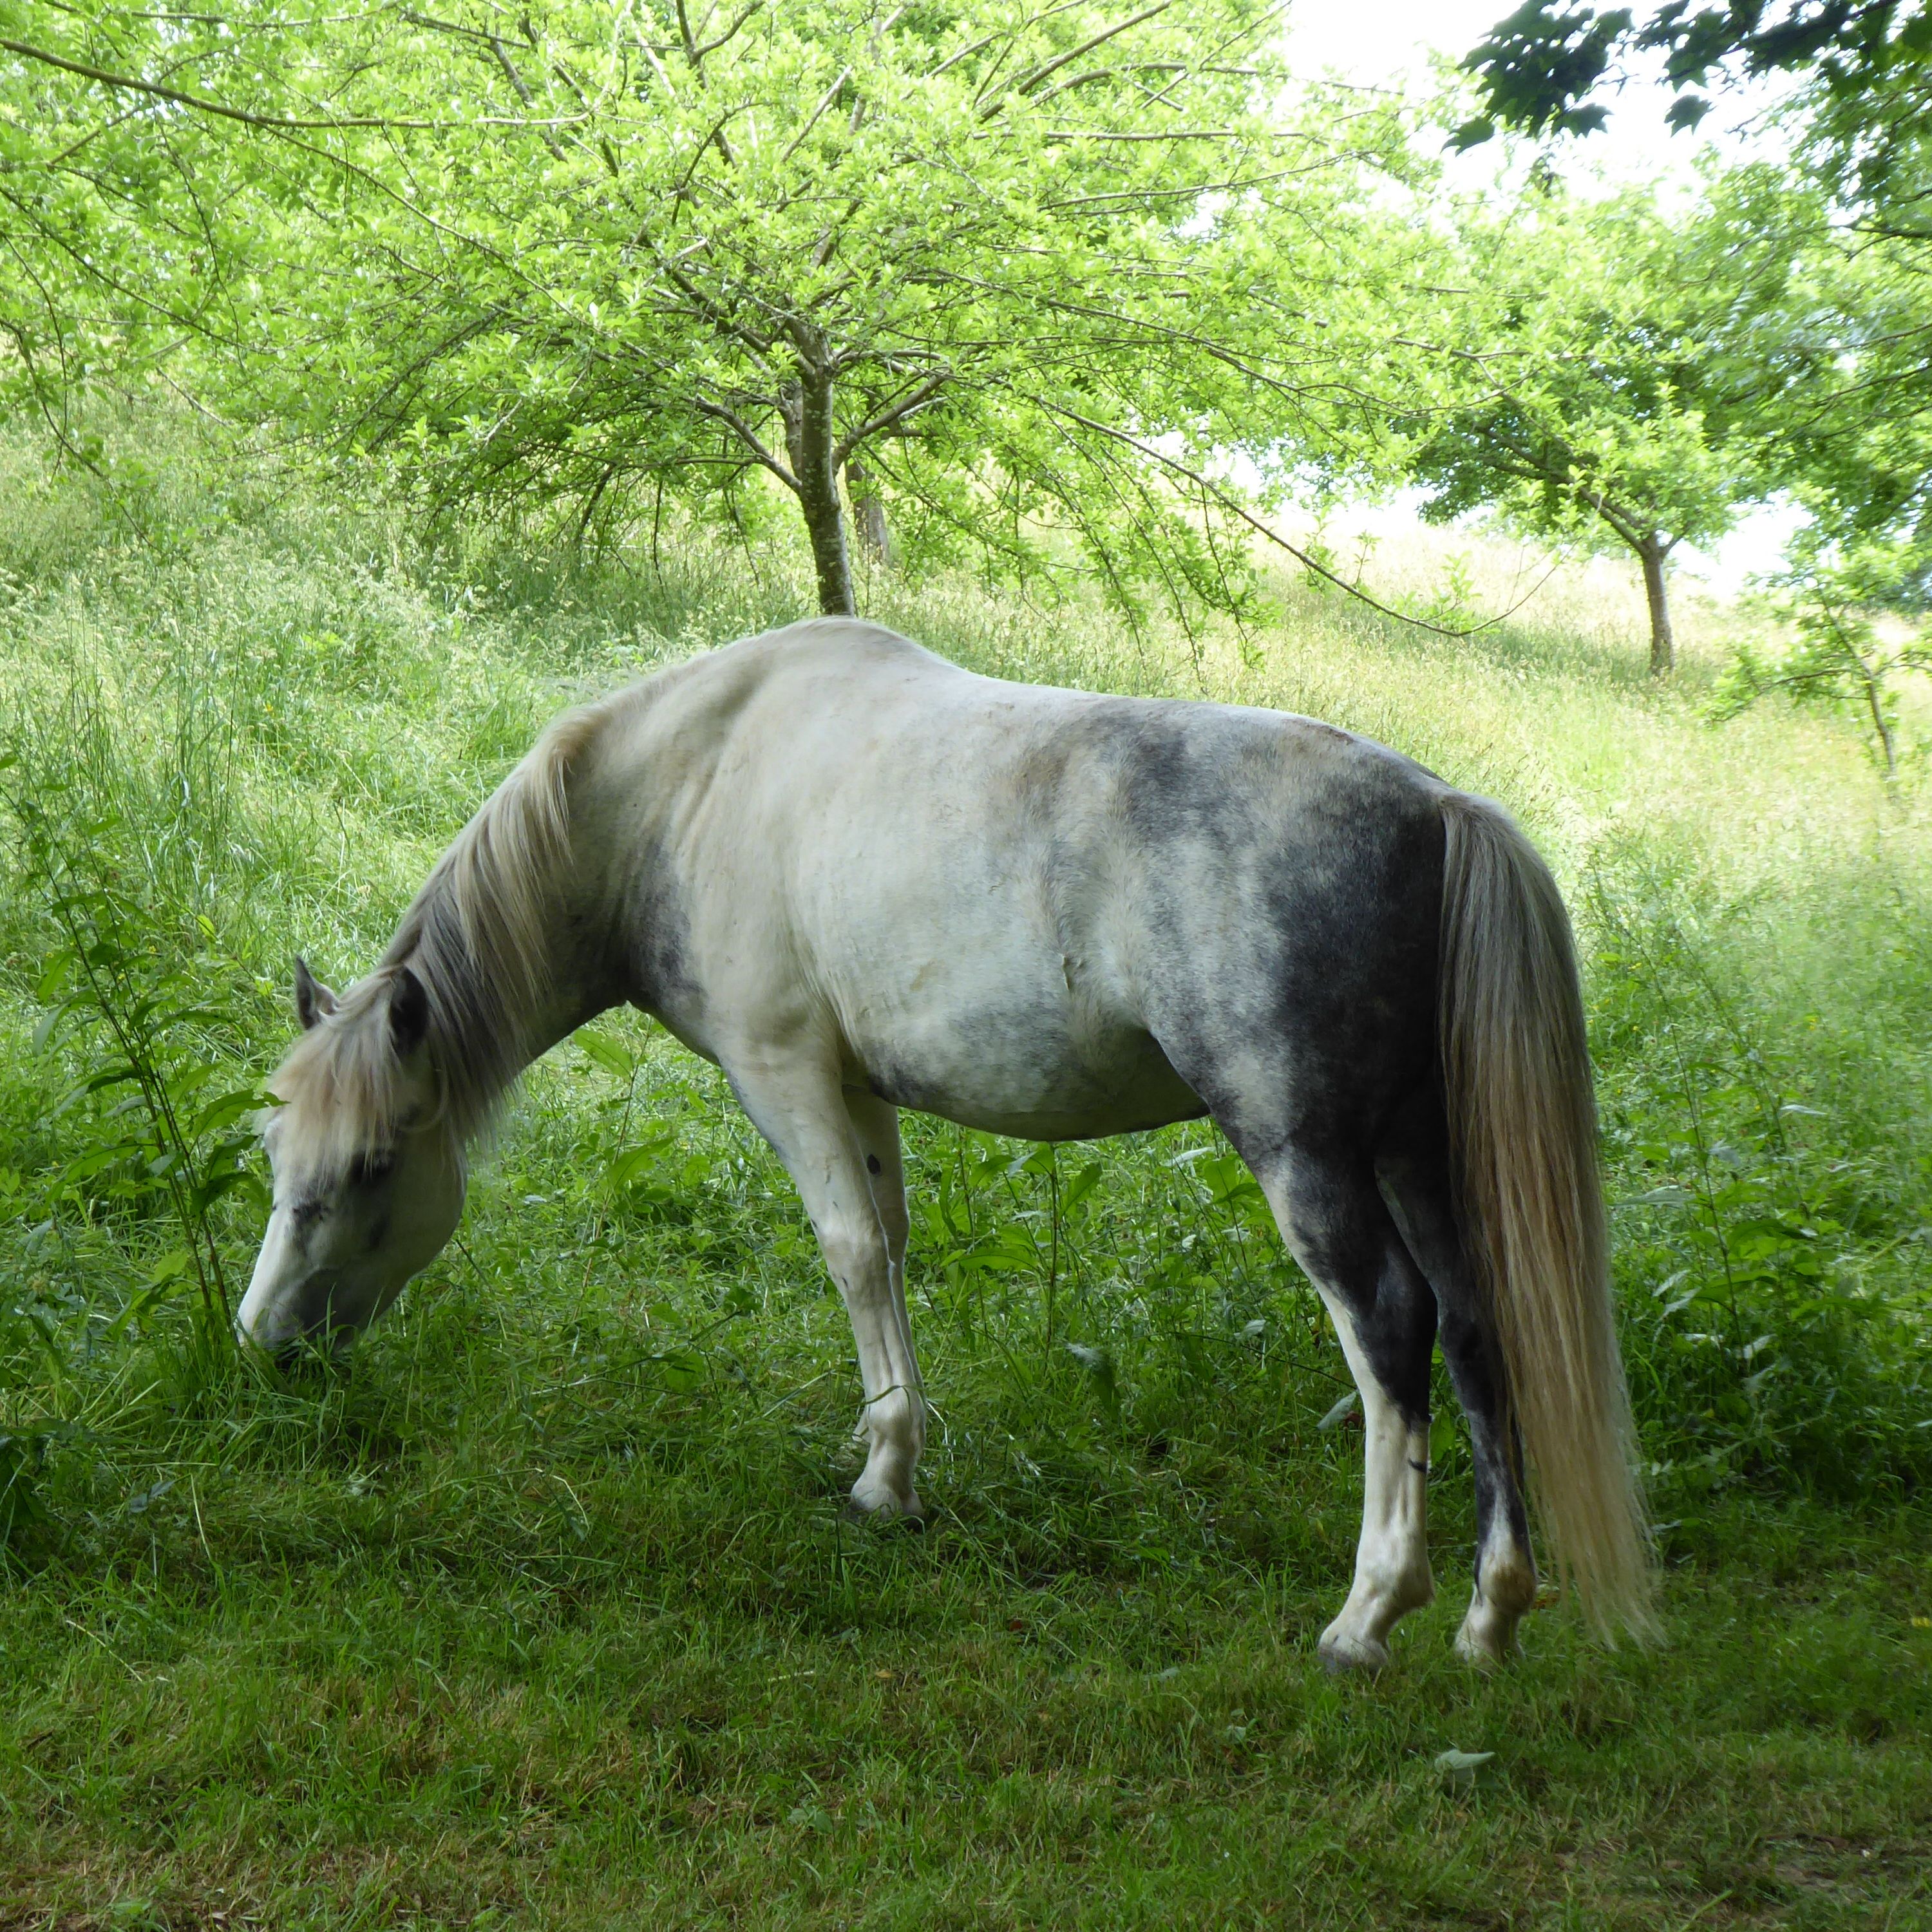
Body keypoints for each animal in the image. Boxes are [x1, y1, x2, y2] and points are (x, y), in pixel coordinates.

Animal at [241, 617, 1654, 1668]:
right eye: (278, 1165)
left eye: (370, 1169)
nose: (264, 1343)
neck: (687, 787)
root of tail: (1435, 809)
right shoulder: (858, 1090)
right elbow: (893, 1252)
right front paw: (895, 1446)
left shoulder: (786, 1074)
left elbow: (852, 1253)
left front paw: (883, 1484)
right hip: (1414, 1154)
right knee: (1473, 1327)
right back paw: (1490, 1615)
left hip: (1306, 1159)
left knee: (1392, 1331)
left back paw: (1369, 1616)